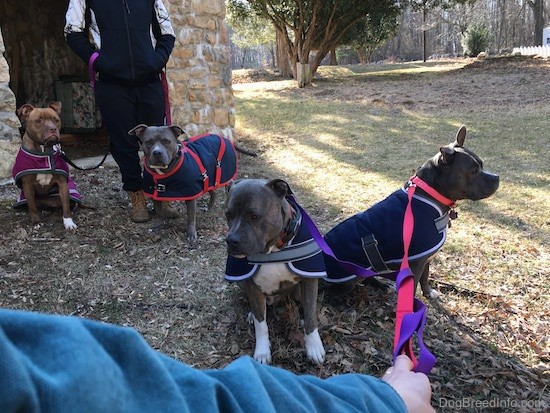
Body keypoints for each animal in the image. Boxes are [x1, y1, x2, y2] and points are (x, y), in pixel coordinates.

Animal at [11, 102, 80, 230]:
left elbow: (66, 205)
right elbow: (32, 206)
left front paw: (68, 222)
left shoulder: (62, 184)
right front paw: (36, 222)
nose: (53, 129)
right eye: (38, 120)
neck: (43, 149)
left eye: (56, 120)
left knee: (65, 203)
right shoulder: (27, 185)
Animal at [324, 124, 500, 296]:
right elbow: (413, 288)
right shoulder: (415, 265)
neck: (430, 193)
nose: (497, 177)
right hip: (347, 281)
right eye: (473, 171)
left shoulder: (426, 259)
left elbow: (425, 277)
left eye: (482, 165)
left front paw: (428, 293)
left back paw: (381, 285)